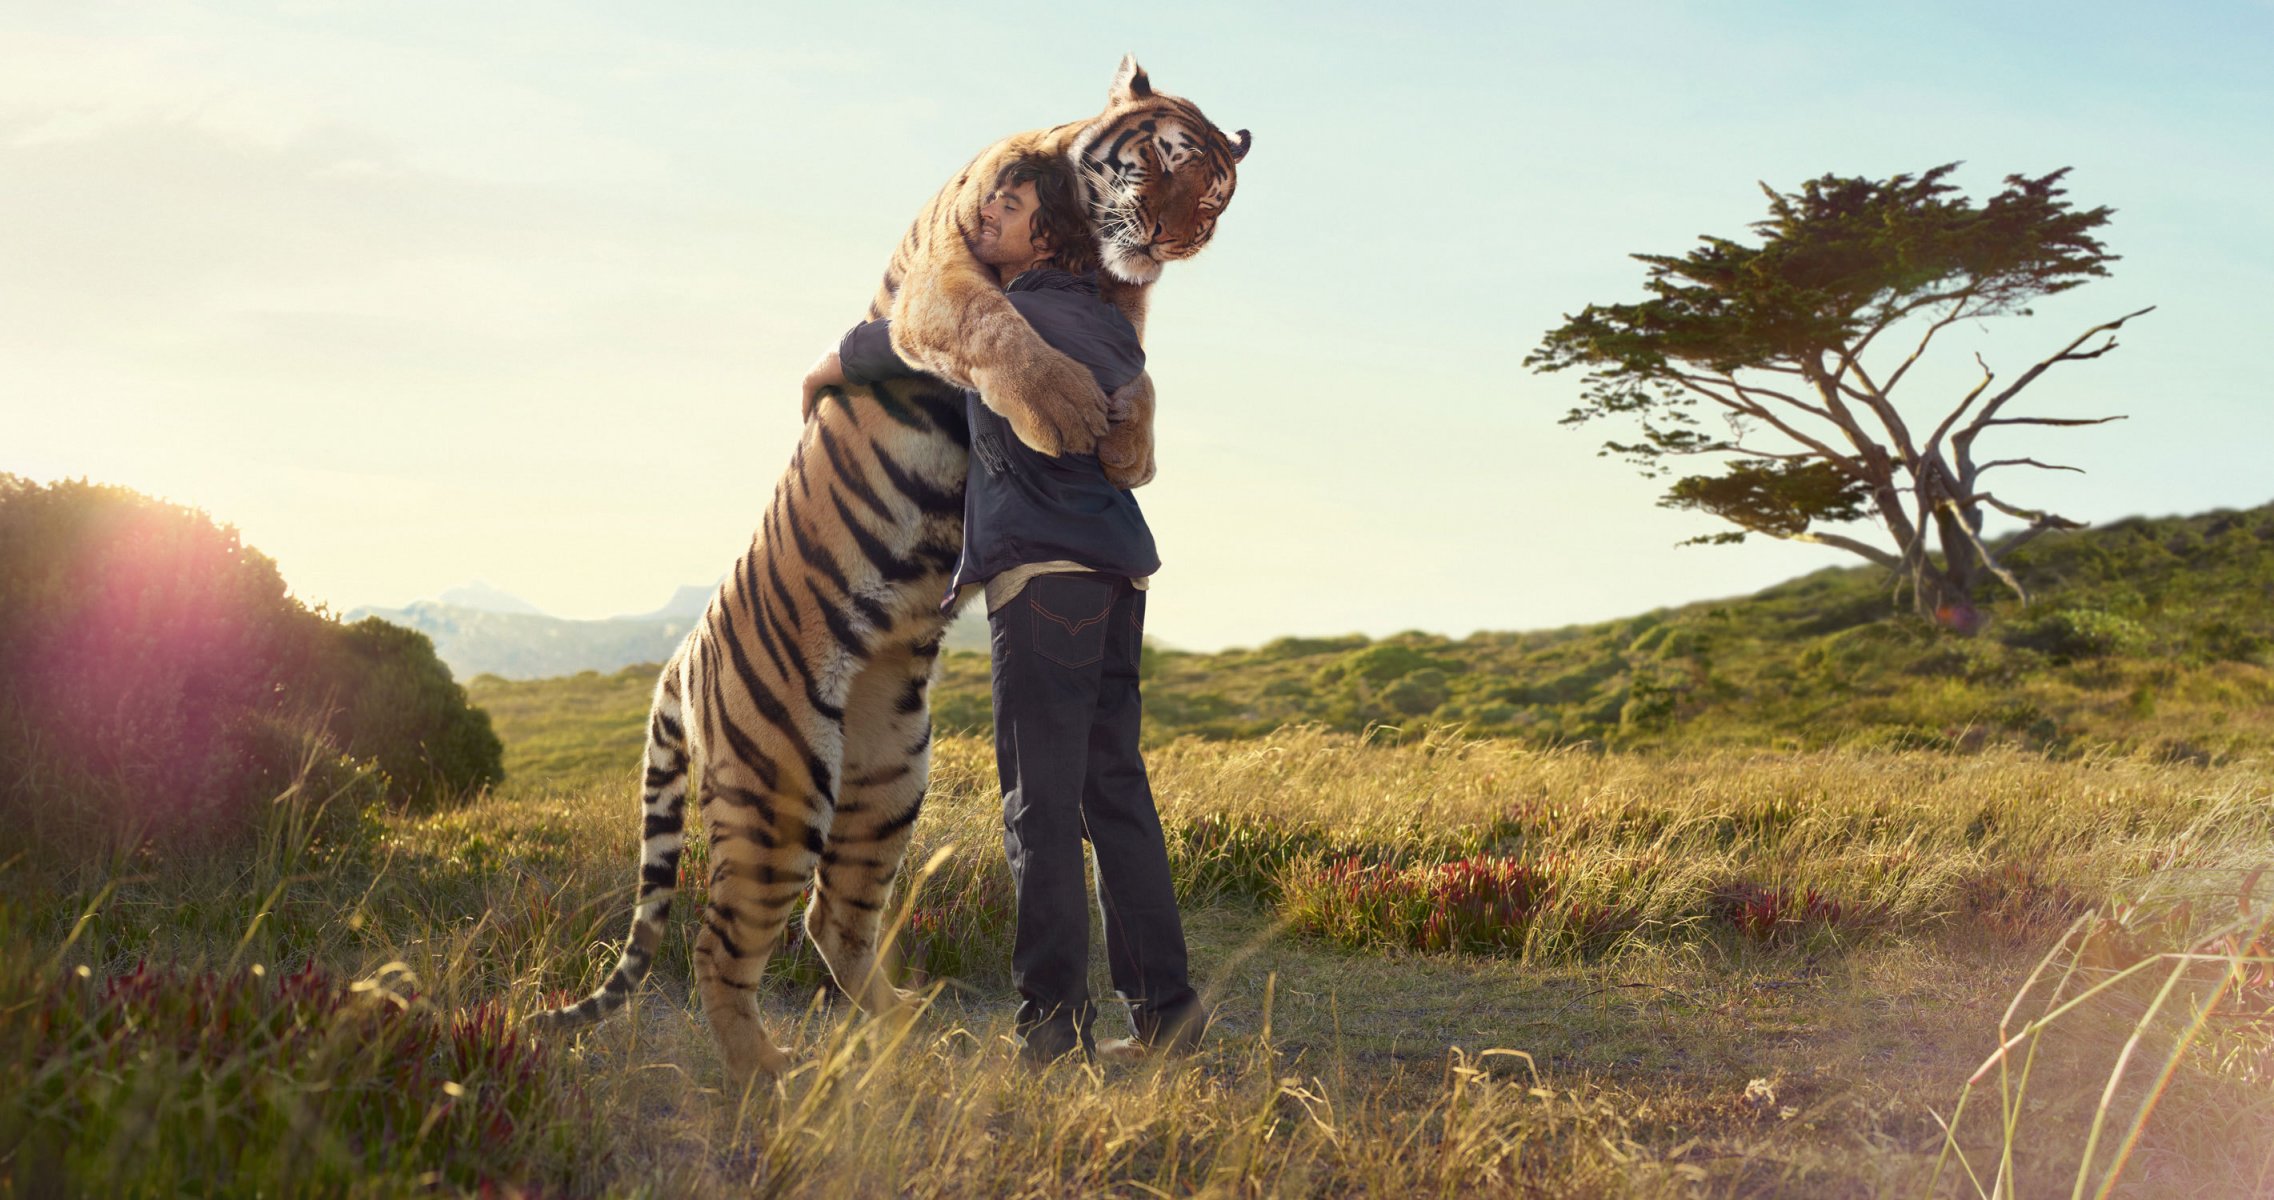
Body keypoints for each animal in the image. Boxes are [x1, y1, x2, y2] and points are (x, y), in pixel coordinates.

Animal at [527, 55, 1249, 1086]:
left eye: (1218, 197)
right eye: (1164, 162)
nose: (1176, 238)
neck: (1082, 249)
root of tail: (681, 657)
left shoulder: (1124, 311)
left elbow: (1139, 371)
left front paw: (1128, 446)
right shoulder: (944, 279)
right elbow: (998, 326)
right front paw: (1069, 412)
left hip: (886, 779)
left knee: (832, 918)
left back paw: (910, 1027)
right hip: (781, 791)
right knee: (720, 944)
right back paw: (771, 1074)